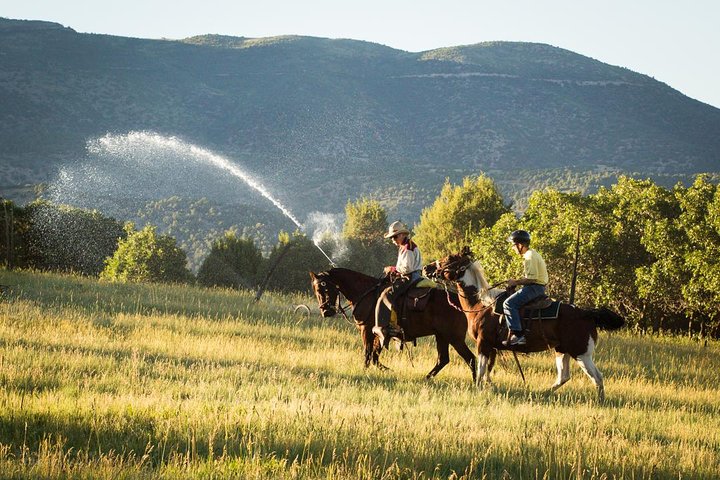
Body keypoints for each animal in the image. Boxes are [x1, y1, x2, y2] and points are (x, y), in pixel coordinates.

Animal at [309, 268, 477, 382]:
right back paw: (426, 378)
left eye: (324, 287)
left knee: (470, 359)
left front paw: (366, 371)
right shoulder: (379, 334)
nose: (326, 311)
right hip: (441, 336)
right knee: (443, 359)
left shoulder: (367, 331)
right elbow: (375, 356)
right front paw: (387, 370)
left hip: (454, 338)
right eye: (316, 289)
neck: (366, 294)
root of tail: (463, 304)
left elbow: (368, 353)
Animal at [434, 249, 625, 401]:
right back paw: (543, 393)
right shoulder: (491, 347)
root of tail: (586, 313)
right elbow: (487, 371)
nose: (429, 269)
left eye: (448, 258)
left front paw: (478, 390)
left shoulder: (483, 344)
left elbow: (480, 371)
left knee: (597, 377)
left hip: (581, 353)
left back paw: (600, 401)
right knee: (564, 376)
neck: (482, 304)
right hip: (562, 350)